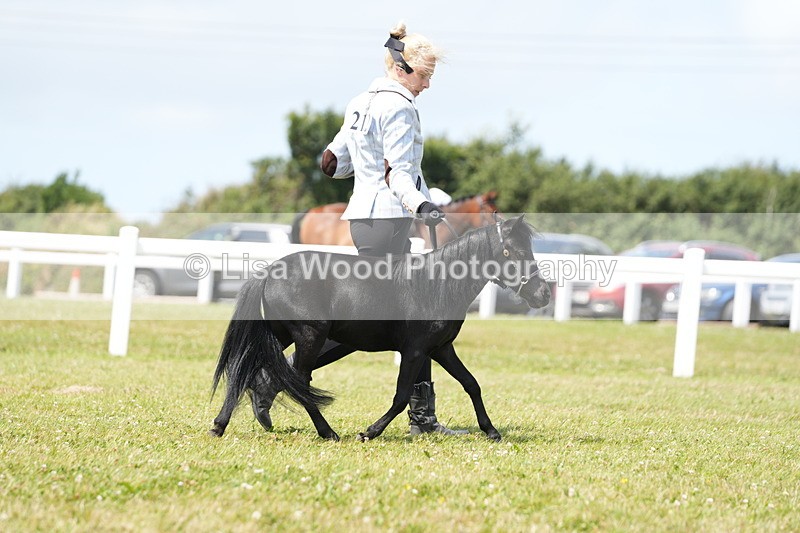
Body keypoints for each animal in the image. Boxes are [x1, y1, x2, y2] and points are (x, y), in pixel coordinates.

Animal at [210, 215, 550, 442]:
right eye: (517, 252)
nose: (543, 294)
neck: (435, 284)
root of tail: (269, 272)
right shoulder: (414, 351)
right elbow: (401, 395)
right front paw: (370, 432)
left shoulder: (441, 348)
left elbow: (471, 384)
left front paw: (491, 430)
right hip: (309, 336)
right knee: (299, 382)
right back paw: (328, 432)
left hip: (282, 335)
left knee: (246, 372)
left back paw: (222, 424)